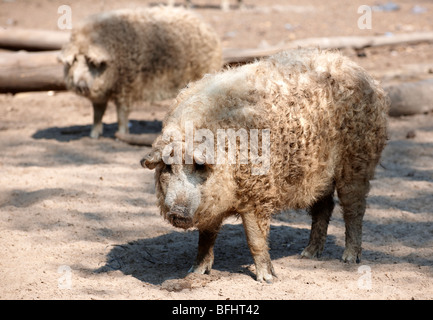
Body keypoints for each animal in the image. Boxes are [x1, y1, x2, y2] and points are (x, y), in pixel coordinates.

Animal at [141, 48, 388, 282]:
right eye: (168, 168)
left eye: (199, 167)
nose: (178, 211)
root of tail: (358, 69)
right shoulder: (212, 203)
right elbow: (206, 237)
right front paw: (196, 271)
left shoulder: (258, 193)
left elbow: (255, 238)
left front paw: (267, 279)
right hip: (318, 174)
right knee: (324, 206)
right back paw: (308, 254)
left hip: (358, 161)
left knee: (354, 208)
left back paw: (349, 259)